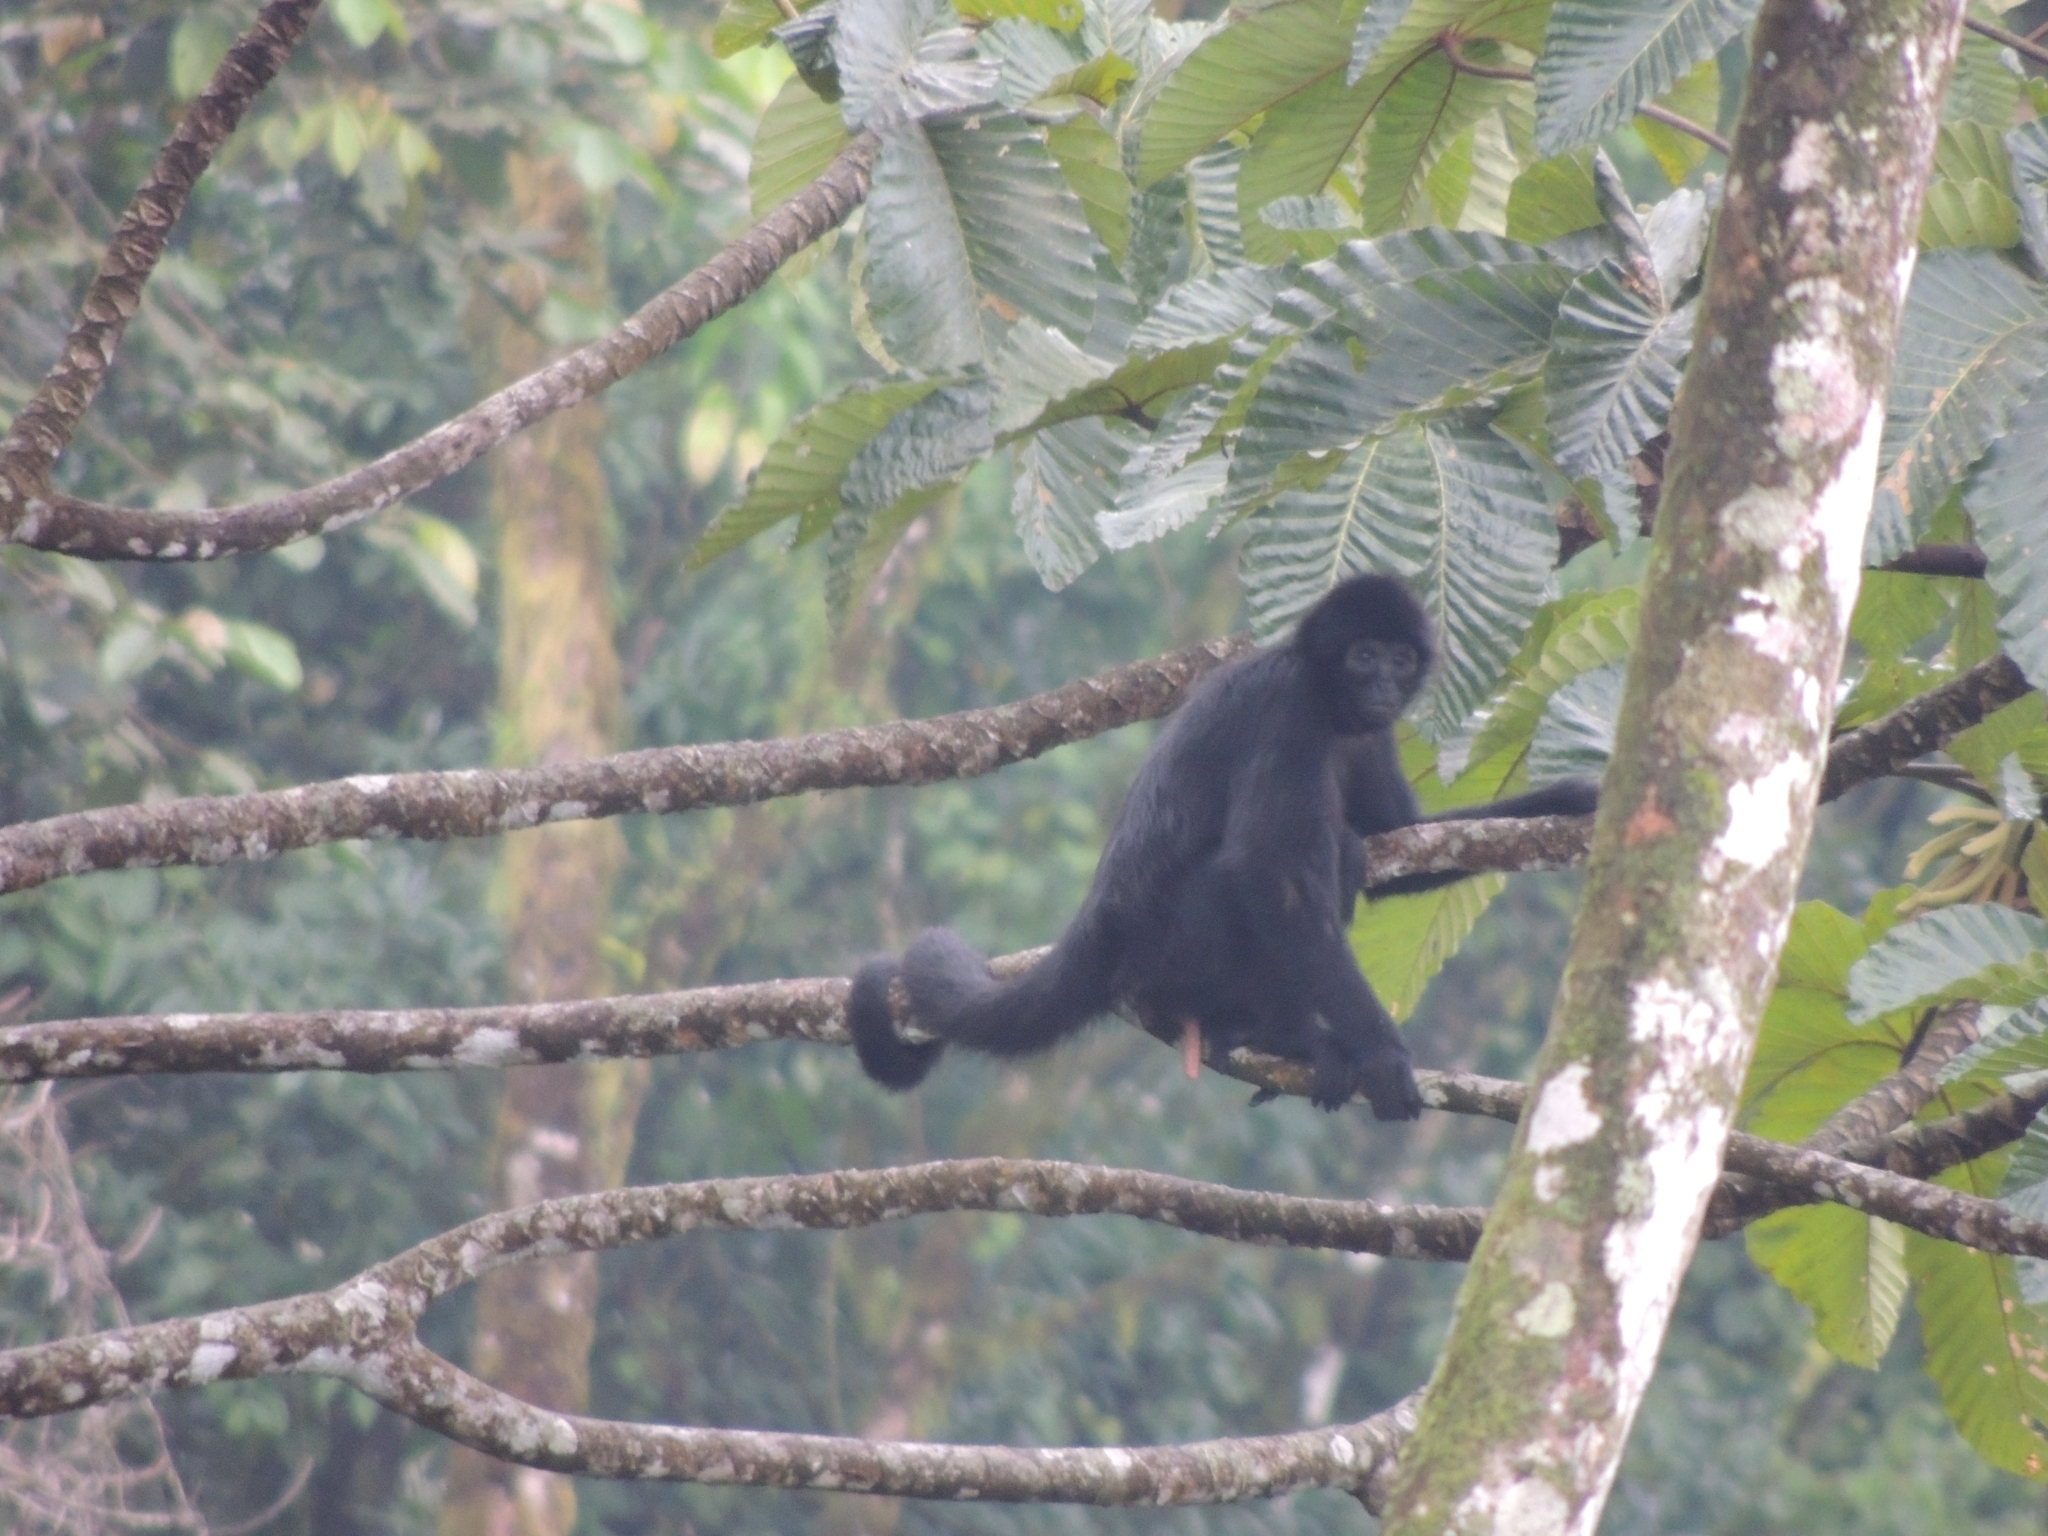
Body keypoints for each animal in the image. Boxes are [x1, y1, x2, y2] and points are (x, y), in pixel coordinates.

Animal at [847, 573, 1597, 1122]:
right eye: (1364, 656)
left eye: (1402, 658)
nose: (1385, 683)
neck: (1326, 700)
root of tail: (1103, 926)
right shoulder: (1286, 710)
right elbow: (1268, 875)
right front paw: (1383, 1054)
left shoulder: (1370, 731)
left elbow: (1397, 854)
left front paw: (1575, 798)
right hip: (1173, 955)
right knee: (1279, 865)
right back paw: (1280, 1036)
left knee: (1348, 851)